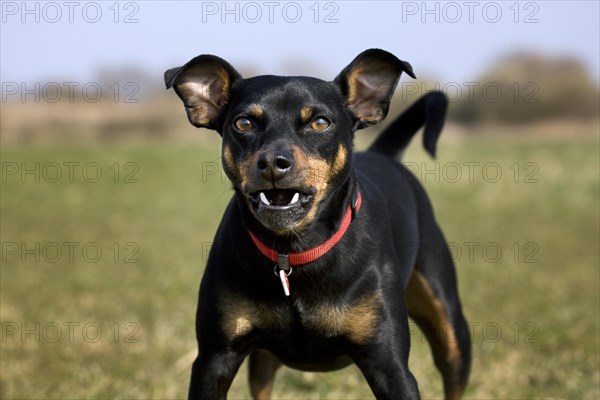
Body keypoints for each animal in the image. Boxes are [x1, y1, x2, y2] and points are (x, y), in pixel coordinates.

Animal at [166, 48, 472, 398]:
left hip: (450, 326)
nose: (273, 162)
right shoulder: (214, 359)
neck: (294, 251)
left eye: (320, 122)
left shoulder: (390, 366)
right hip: (263, 359)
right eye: (243, 123)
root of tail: (386, 155)